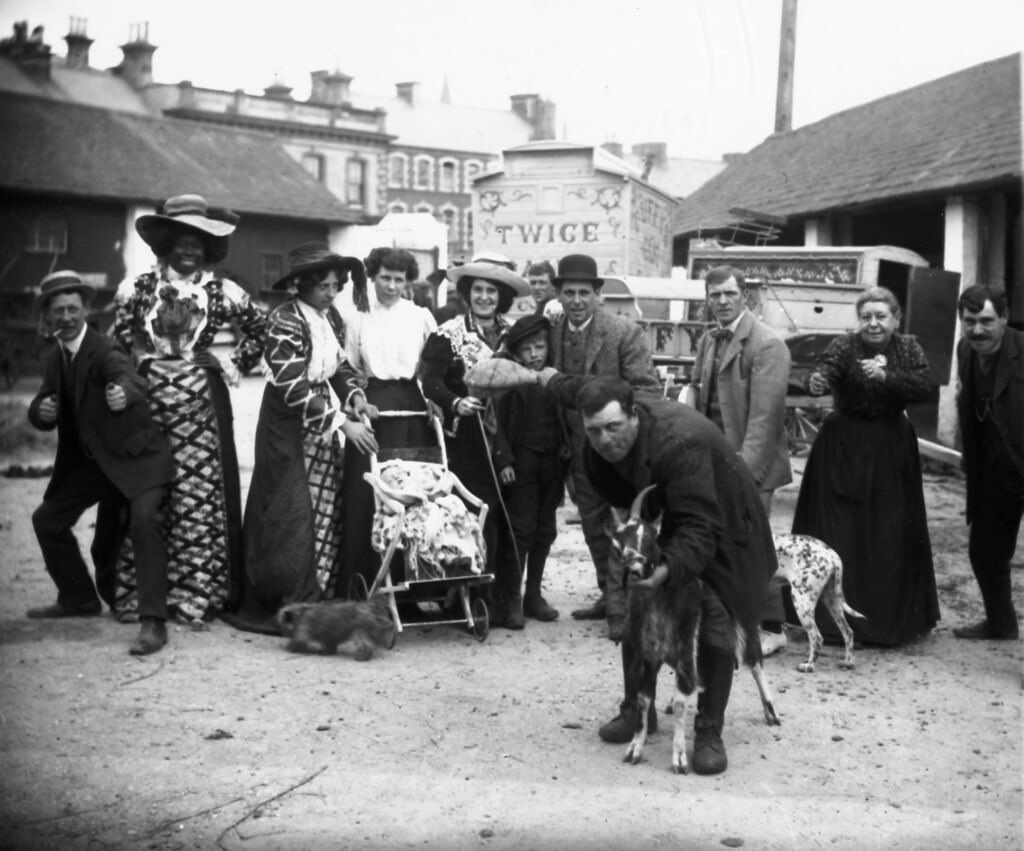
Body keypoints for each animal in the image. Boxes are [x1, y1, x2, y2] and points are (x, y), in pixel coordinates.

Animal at [606, 485, 782, 770]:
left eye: (649, 535)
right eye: (617, 544)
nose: (634, 565)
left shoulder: (686, 656)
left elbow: (681, 703)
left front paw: (679, 757)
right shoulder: (648, 658)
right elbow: (644, 700)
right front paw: (635, 748)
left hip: (746, 617)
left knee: (754, 659)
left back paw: (771, 710)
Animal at [774, 536, 864, 675]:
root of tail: (832, 554)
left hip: (801, 601)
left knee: (817, 638)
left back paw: (808, 666)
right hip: (831, 600)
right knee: (848, 632)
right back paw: (848, 663)